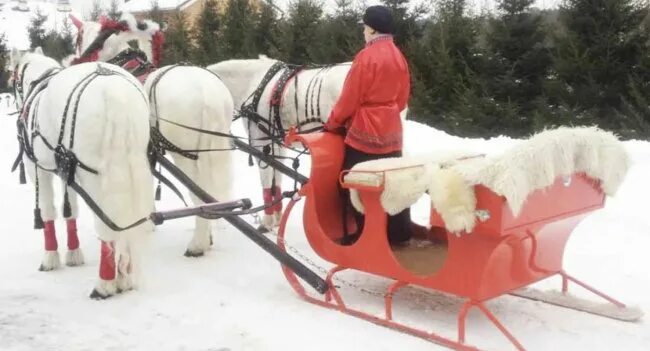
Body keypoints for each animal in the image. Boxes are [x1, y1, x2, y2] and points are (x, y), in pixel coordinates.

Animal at [8, 47, 153, 300]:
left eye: (14, 78)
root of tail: (114, 92)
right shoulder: (68, 169)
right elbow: (70, 210)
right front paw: (73, 252)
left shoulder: (38, 168)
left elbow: (47, 210)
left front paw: (50, 257)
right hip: (129, 164)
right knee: (125, 221)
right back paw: (124, 274)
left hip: (94, 175)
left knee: (108, 222)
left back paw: (105, 283)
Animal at [71, 13, 233, 258]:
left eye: (78, 38)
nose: (76, 59)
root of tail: (207, 93)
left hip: (186, 155)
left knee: (200, 196)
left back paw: (197, 244)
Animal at [208, 56, 408, 230]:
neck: (254, 82)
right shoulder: (276, 144)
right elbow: (276, 178)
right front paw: (277, 217)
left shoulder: (260, 143)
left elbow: (266, 179)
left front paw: (267, 221)